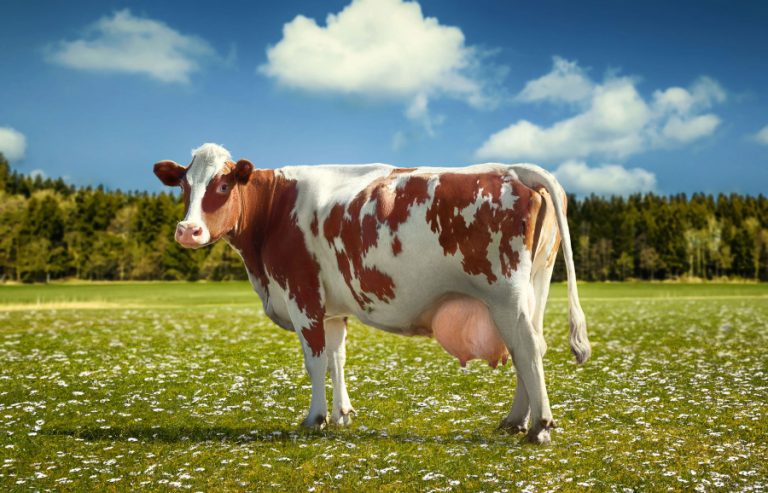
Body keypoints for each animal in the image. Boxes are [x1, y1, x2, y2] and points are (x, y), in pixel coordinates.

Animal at [153, 143, 590, 444]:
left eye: (224, 184)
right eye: (183, 185)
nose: (188, 231)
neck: (275, 211)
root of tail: (513, 168)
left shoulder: (302, 294)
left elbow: (315, 361)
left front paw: (314, 419)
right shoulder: (331, 310)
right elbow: (336, 359)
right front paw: (342, 415)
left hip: (505, 294)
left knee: (527, 348)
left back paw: (539, 426)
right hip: (534, 287)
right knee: (530, 346)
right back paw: (516, 420)